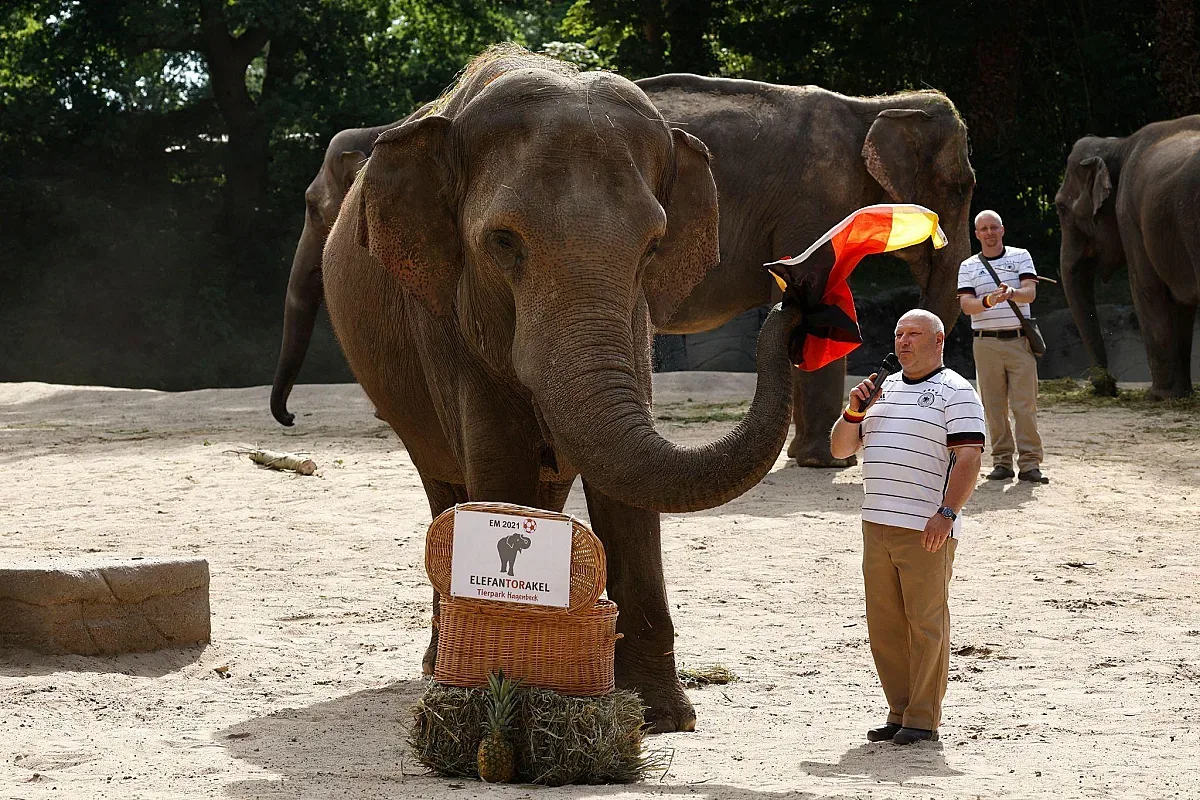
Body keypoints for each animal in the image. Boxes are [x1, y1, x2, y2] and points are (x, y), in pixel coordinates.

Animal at [320, 45, 819, 732]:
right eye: (502, 242)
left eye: (654, 245)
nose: (790, 296)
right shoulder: (443, 315)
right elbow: (498, 458)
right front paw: (494, 696)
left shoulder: (636, 321)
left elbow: (626, 488)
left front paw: (661, 717)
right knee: (442, 483)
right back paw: (435, 662)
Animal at [1056, 117, 1200, 398]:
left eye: (1060, 209)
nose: (1108, 385)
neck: (1118, 144)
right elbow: (1179, 302)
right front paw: (1179, 394)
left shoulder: (1129, 214)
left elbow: (1146, 288)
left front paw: (1157, 396)